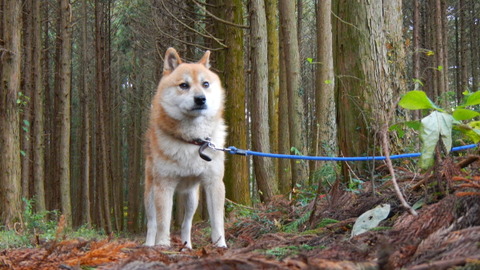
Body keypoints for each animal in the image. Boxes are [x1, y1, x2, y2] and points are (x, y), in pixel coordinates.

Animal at [143, 47, 228, 248]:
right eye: (183, 85)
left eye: (205, 84)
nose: (200, 99)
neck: (192, 141)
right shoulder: (164, 185)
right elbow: (163, 222)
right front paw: (163, 246)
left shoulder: (214, 182)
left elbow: (217, 221)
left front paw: (221, 245)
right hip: (150, 192)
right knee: (152, 223)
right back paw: (149, 245)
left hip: (192, 198)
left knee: (186, 223)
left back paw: (187, 246)